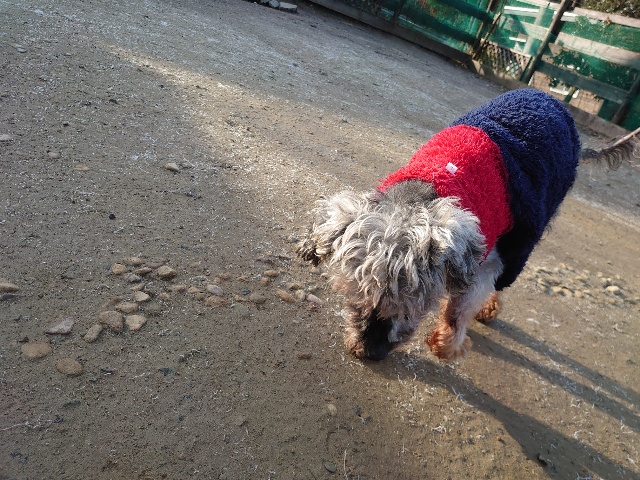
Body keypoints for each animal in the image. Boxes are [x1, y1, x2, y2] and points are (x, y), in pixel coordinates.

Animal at [297, 89, 637, 362]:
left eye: (414, 305)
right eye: (354, 294)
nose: (370, 352)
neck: (426, 190)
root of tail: (555, 103)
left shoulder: (486, 256)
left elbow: (461, 308)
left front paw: (447, 344)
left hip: (530, 227)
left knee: (507, 275)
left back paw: (490, 306)